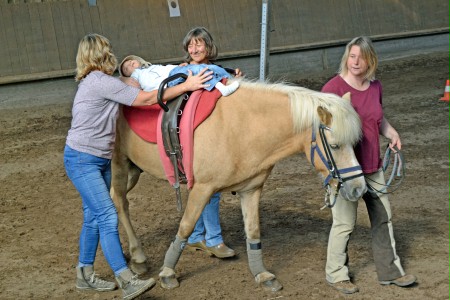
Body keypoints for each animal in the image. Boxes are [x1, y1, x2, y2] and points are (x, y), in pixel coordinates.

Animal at [110, 78, 368, 292]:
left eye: (355, 143)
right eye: (334, 146)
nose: (359, 188)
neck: (242, 127)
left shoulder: (251, 190)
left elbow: (253, 231)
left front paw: (262, 275)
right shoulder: (202, 188)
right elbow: (185, 226)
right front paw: (167, 273)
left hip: (134, 169)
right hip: (119, 164)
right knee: (119, 201)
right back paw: (138, 257)